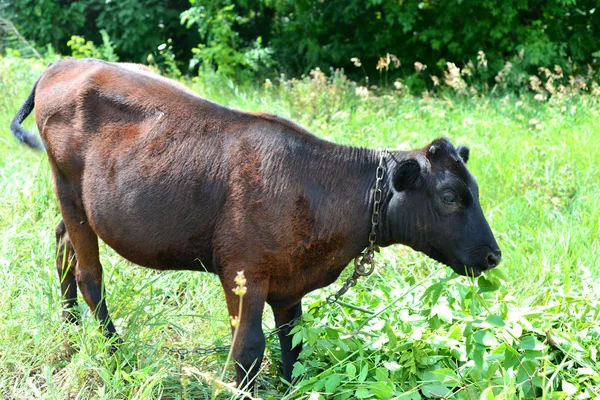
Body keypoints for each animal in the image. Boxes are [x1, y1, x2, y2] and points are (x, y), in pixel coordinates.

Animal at [11, 58, 502, 394]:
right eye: (449, 197)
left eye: (475, 190)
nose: (493, 255)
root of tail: (62, 64)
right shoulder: (242, 272)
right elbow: (247, 349)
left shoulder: (289, 282)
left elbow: (294, 344)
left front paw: (291, 386)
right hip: (67, 186)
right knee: (89, 274)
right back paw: (116, 356)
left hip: (78, 202)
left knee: (62, 244)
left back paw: (69, 327)